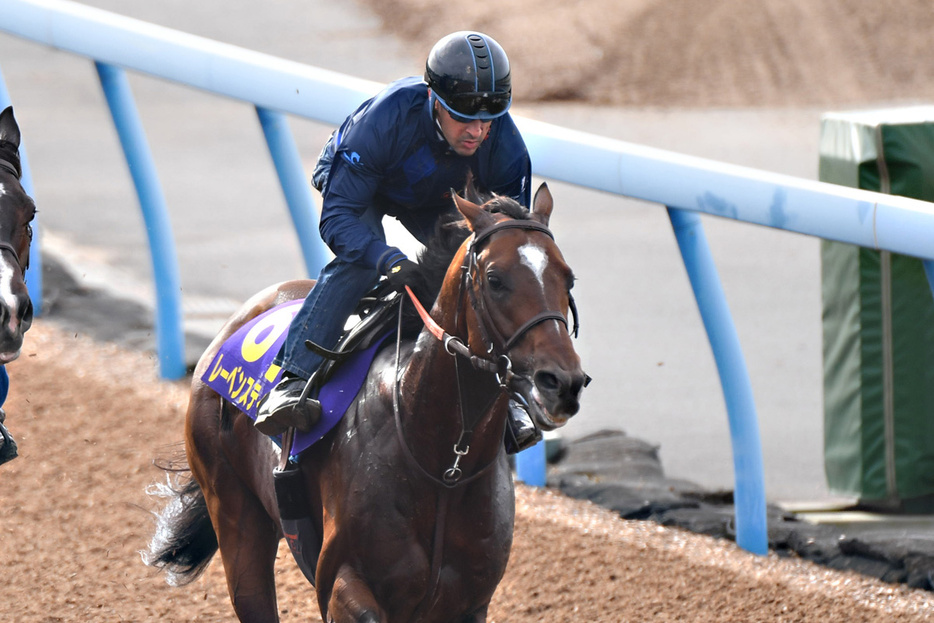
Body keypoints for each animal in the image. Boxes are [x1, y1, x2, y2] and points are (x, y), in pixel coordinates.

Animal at [145, 183, 588, 620]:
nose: (562, 383)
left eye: (568, 279)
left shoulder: (468, 602)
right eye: (495, 279)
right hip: (234, 512)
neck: (442, 464)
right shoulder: (342, 582)